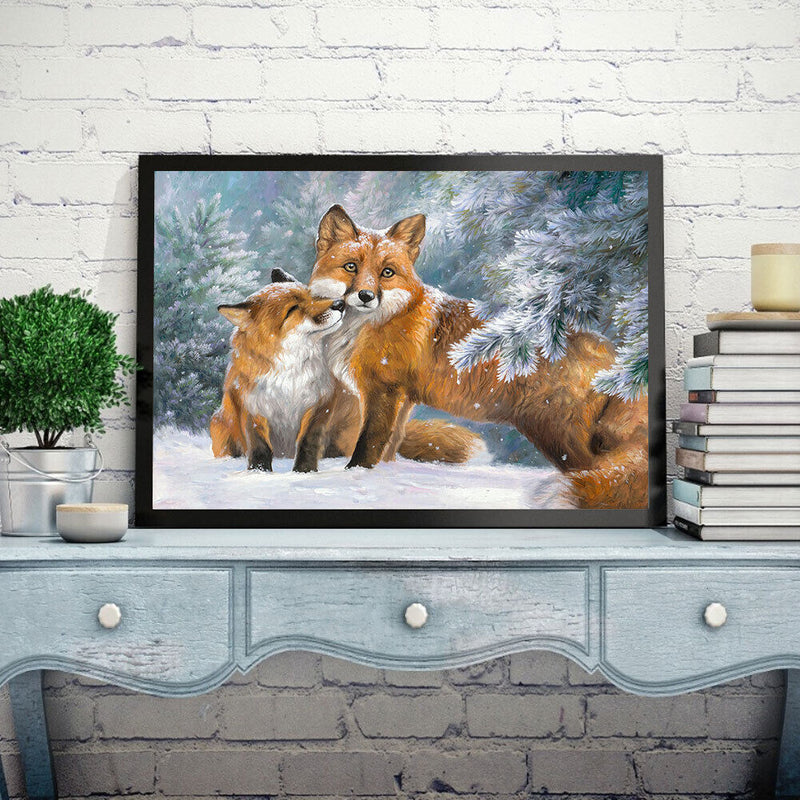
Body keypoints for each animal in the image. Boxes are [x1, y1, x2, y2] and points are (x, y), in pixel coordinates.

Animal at [210, 270, 484, 473]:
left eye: (313, 296)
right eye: (293, 309)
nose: (339, 304)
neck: (290, 373)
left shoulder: (321, 405)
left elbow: (308, 442)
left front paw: (304, 472)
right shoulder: (251, 406)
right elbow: (259, 446)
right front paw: (259, 472)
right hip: (220, 426)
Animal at [303, 204, 649, 509]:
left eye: (387, 272)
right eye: (351, 266)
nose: (366, 296)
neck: (368, 325)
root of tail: (617, 357)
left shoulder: (383, 392)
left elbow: (366, 447)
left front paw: (354, 479)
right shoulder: (403, 398)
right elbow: (388, 449)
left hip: (558, 434)